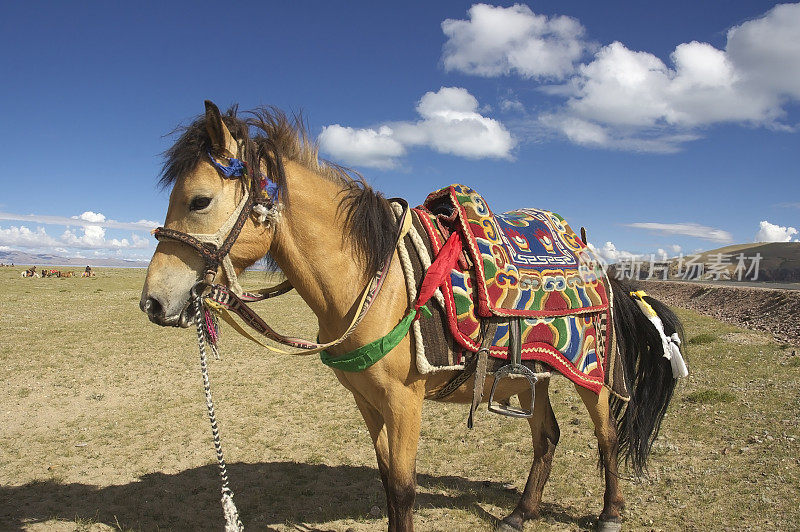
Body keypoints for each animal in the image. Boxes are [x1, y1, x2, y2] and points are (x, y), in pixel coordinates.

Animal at [141, 102, 684, 528]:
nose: (153, 302)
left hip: (592, 375)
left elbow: (403, 490)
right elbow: (386, 482)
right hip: (532, 377)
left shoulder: (405, 401)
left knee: (606, 437)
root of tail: (601, 267)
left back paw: (610, 513)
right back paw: (520, 513)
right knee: (547, 437)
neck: (370, 281)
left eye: (199, 201)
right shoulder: (366, 400)